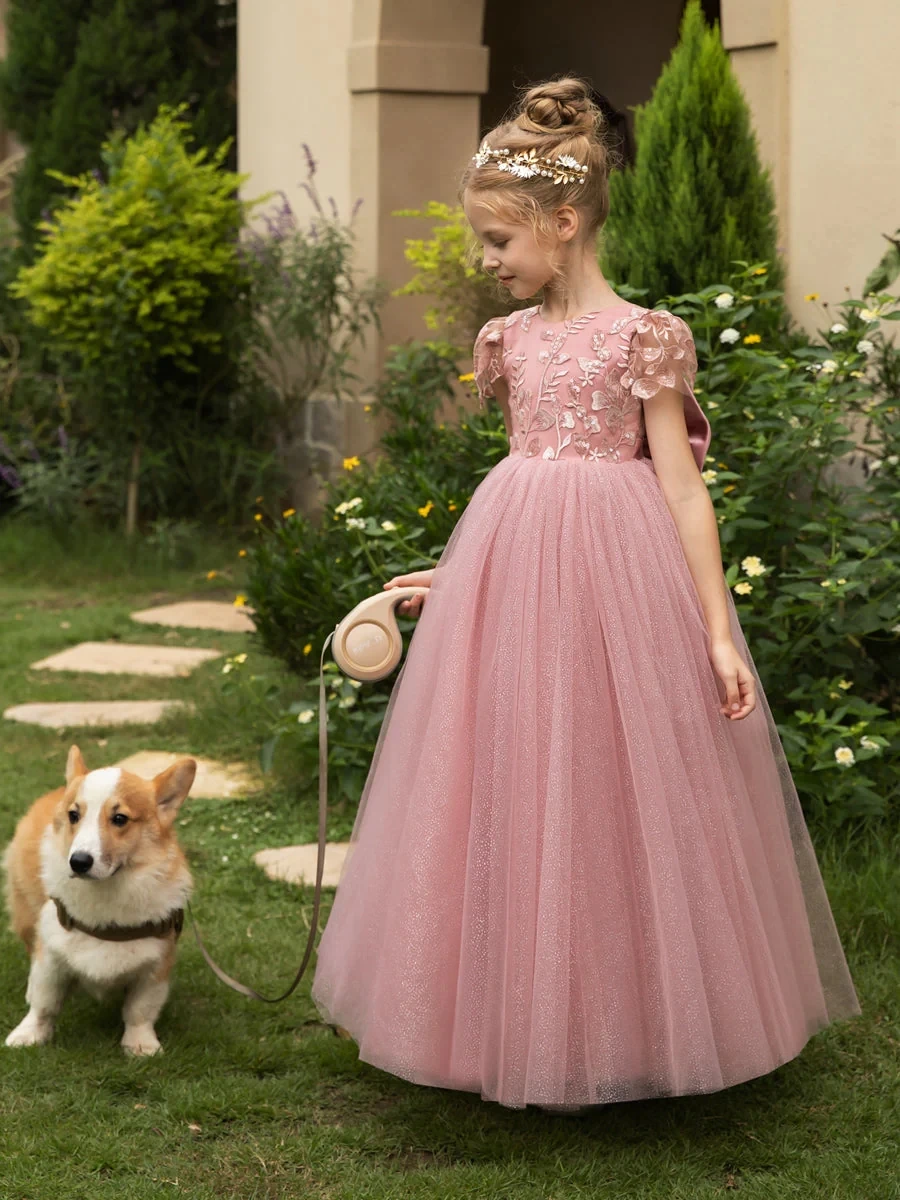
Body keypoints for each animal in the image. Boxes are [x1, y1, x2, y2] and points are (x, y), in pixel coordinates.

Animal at [3, 744, 194, 1056]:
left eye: (119, 819)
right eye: (73, 815)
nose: (79, 862)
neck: (105, 893)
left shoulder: (156, 965)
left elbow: (139, 1011)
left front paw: (141, 1044)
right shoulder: (50, 956)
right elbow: (44, 1003)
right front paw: (29, 1033)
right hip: (26, 918)